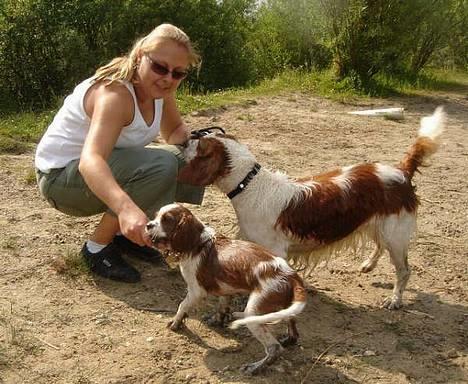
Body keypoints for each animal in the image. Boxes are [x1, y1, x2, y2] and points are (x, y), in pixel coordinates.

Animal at [146, 204, 308, 376]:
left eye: (167, 220)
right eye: (156, 216)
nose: (148, 225)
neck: (198, 243)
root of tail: (291, 275)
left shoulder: (196, 291)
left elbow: (182, 306)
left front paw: (176, 323)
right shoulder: (225, 289)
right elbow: (222, 305)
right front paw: (217, 320)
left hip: (255, 309)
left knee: (274, 348)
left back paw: (254, 367)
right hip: (282, 308)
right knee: (293, 330)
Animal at [176, 107, 446, 308]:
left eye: (200, 144)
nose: (186, 137)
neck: (250, 184)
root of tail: (401, 170)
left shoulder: (276, 252)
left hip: (396, 235)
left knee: (404, 270)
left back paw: (395, 299)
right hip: (381, 225)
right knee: (379, 246)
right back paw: (368, 265)